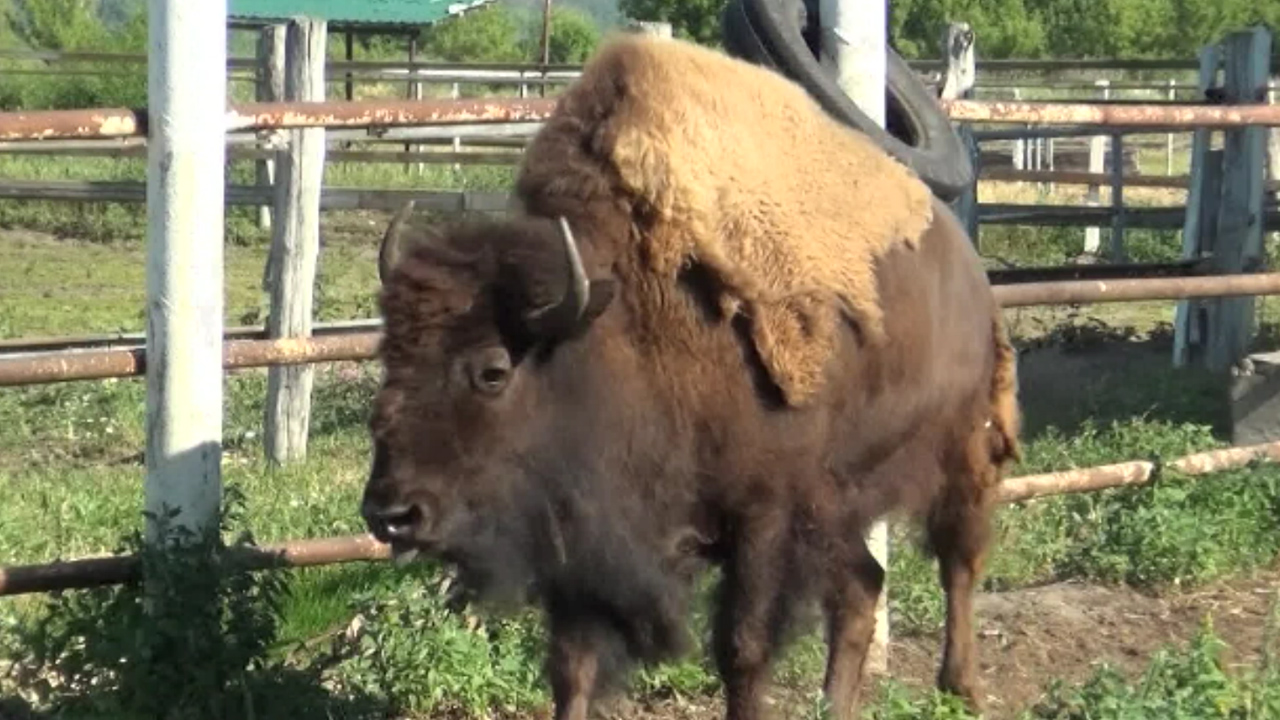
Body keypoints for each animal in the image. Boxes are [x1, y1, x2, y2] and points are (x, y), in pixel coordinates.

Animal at [363, 33, 1018, 720]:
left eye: (493, 371)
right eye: (391, 356)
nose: (391, 514)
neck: (617, 324)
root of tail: (967, 268)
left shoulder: (765, 521)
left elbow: (742, 649)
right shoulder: (587, 541)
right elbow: (572, 664)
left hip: (961, 454)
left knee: (958, 561)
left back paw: (962, 685)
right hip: (840, 503)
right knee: (864, 587)